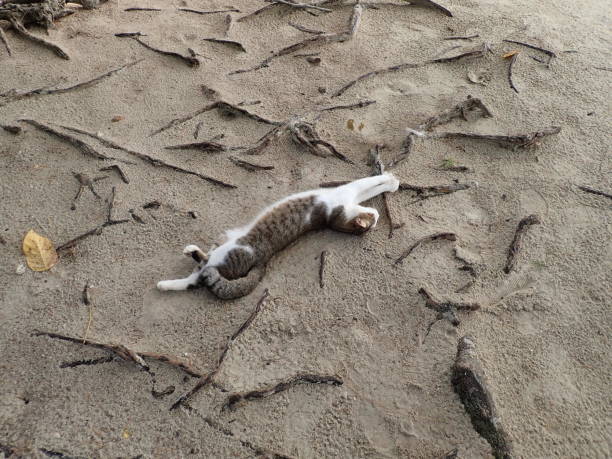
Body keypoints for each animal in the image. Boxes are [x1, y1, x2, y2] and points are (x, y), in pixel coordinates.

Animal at [155, 172, 400, 298]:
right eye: (373, 218)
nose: (377, 215)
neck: (337, 219)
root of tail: (262, 262)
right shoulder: (349, 196)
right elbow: (371, 186)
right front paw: (391, 182)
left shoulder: (346, 193)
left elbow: (369, 182)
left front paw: (389, 179)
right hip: (223, 240)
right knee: (196, 273)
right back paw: (171, 275)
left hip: (227, 253)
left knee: (199, 273)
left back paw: (176, 270)